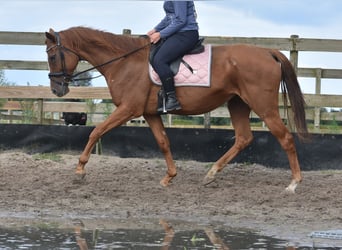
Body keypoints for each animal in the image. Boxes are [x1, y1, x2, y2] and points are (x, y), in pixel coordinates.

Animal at [44, 26, 308, 191]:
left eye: (53, 56)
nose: (57, 90)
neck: (124, 61)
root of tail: (268, 51)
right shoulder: (149, 113)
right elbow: (163, 142)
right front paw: (169, 177)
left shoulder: (128, 109)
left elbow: (96, 131)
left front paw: (80, 170)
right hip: (238, 103)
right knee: (243, 138)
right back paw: (211, 174)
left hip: (263, 105)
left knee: (285, 137)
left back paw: (293, 183)